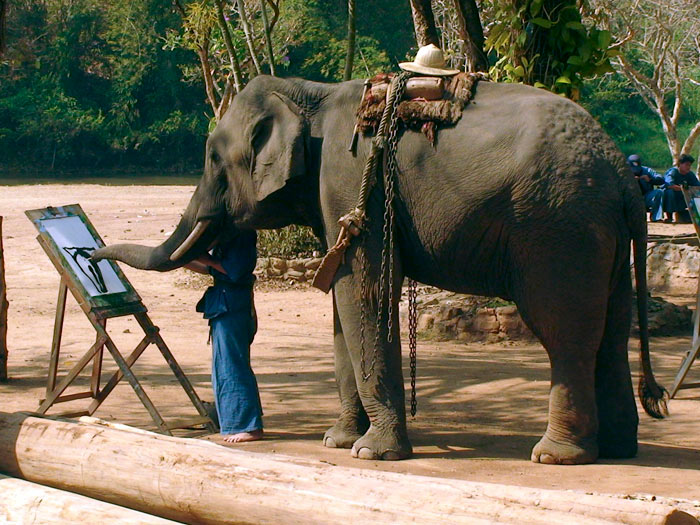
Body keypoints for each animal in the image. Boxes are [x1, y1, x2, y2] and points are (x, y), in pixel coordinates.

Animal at [93, 74, 668, 465]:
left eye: (213, 158)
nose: (91, 256)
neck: (309, 93)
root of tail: (624, 175)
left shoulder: (352, 183)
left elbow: (364, 293)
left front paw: (372, 452)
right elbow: (341, 305)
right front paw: (339, 441)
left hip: (558, 231)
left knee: (566, 334)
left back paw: (556, 455)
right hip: (598, 236)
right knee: (611, 329)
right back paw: (617, 449)